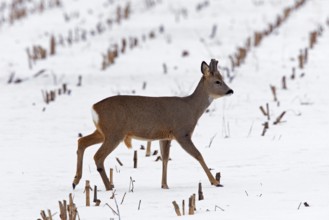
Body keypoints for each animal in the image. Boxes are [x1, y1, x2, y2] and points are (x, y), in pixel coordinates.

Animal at [72, 59, 232, 190]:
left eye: (222, 79)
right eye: (217, 81)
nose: (231, 90)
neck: (192, 108)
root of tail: (94, 107)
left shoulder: (165, 136)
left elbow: (165, 159)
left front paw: (164, 185)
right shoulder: (182, 132)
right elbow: (198, 155)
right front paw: (215, 182)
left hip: (103, 132)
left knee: (81, 141)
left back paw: (75, 181)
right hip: (114, 133)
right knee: (98, 156)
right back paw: (108, 187)